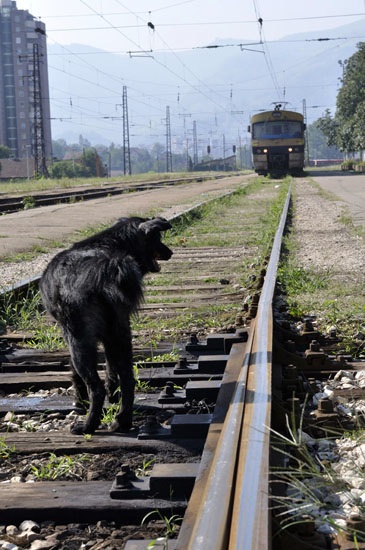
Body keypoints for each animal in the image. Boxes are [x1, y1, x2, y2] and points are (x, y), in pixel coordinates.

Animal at [39, 216, 173, 436]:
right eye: (158, 239)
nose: (170, 252)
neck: (108, 244)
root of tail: (108, 267)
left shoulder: (71, 334)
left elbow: (75, 373)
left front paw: (80, 401)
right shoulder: (111, 336)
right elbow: (111, 369)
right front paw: (113, 395)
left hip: (80, 339)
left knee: (96, 387)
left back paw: (87, 425)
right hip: (121, 333)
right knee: (128, 379)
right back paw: (121, 421)